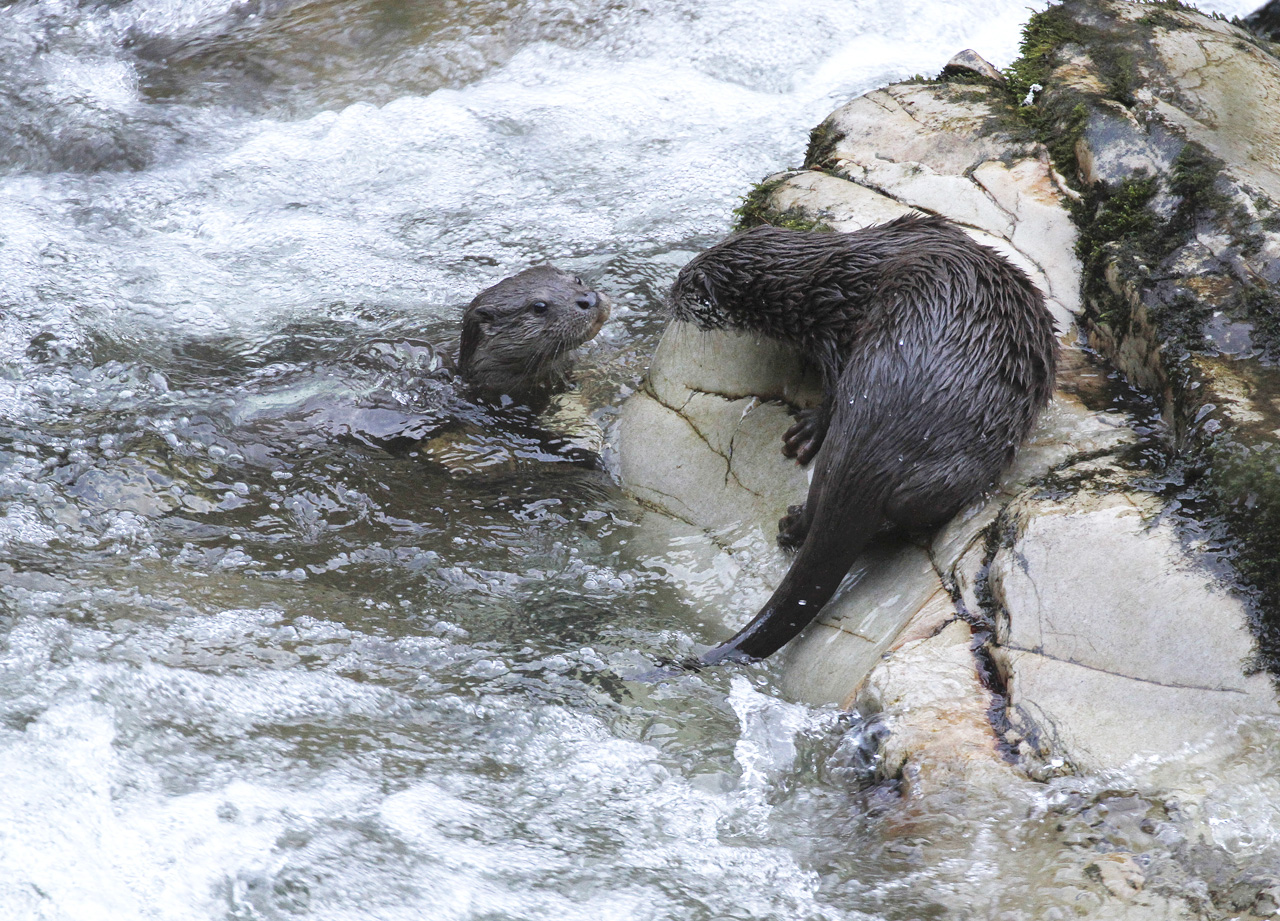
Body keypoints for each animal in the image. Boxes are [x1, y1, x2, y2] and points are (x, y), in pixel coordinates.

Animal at [665, 212, 1054, 665]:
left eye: (684, 282)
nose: (669, 294)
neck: (819, 285)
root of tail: (883, 439)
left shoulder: (831, 328)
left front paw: (808, 426)